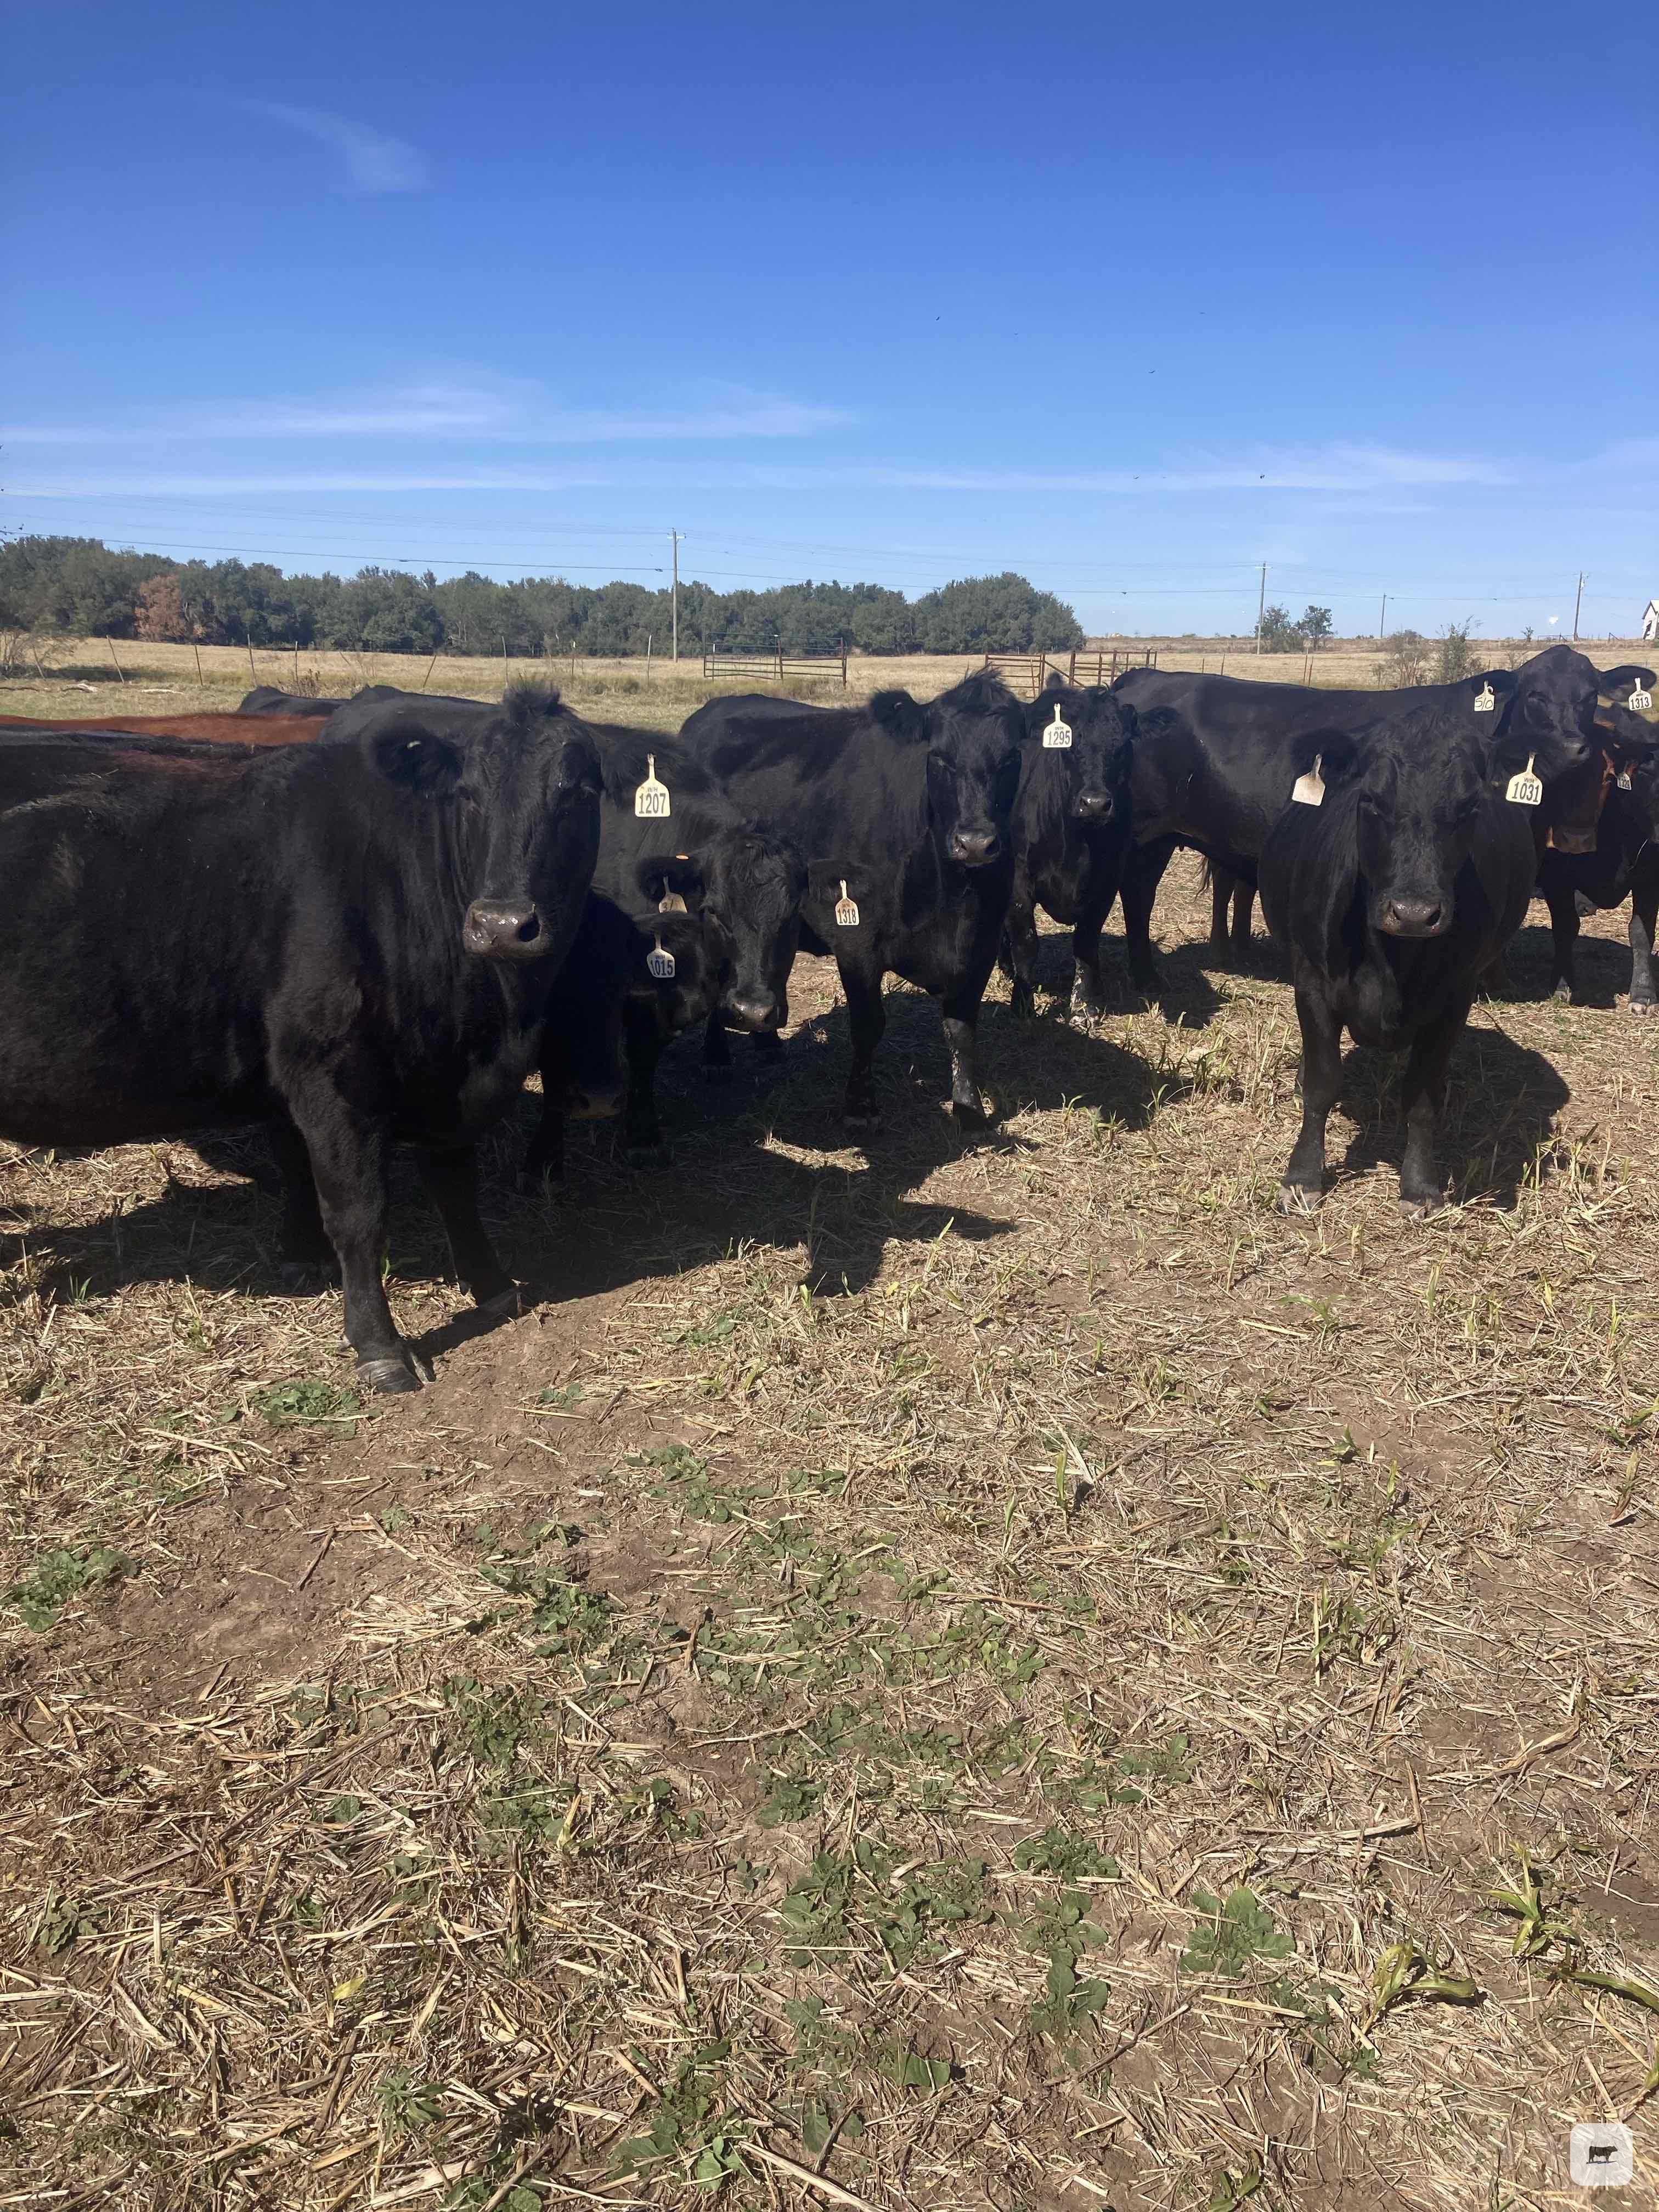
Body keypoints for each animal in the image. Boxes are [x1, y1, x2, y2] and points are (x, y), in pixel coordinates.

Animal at [0, 688, 602, 1392]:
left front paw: (492, 1286)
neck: (490, 1023)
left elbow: (451, 1189)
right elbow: (357, 1211)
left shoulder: (443, 1079)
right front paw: (379, 1347)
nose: (503, 924)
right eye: (468, 794)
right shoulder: (332, 1066)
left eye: (580, 791)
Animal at [677, 673, 1026, 1125]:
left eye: (1012, 757)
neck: (951, 897)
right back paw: (717, 1056)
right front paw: (860, 1107)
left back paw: (768, 1043)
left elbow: (962, 1029)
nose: (976, 843)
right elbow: (868, 1025)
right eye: (939, 756)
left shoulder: (982, 943)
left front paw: (969, 1109)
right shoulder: (857, 943)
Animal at [998, 675, 1138, 1021]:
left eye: (1122, 747)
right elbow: (1026, 942)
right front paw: (1023, 1003)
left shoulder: (1107, 882)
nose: (1095, 803)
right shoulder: (1019, 880)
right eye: (1071, 746)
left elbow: (1086, 941)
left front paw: (1085, 1003)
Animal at [1113, 647, 1658, 992]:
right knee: (1137, 897)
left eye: (1590, 696)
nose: (1572, 747)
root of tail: (1143, 677)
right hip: (1140, 835)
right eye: (1534, 695)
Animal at [1258, 706, 1538, 1217]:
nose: (1413, 913)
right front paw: (1303, 1177)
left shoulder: (1454, 998)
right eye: (1370, 800)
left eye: (1470, 806)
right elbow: (1323, 1084)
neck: (1391, 962)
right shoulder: (1310, 980)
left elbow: (1419, 1096)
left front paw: (1420, 1184)